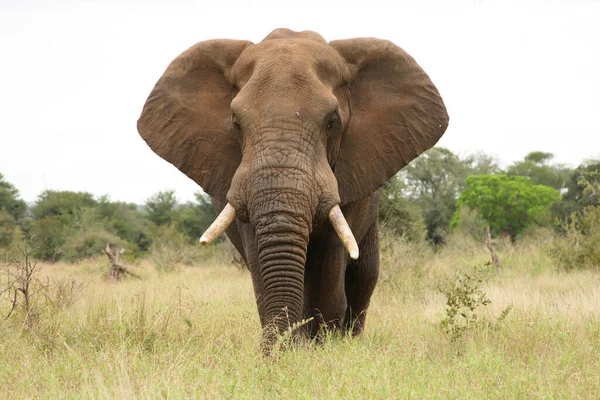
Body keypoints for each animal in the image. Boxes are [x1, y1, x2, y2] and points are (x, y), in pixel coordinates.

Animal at [138, 28, 448, 354]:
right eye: (236, 123)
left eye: (332, 122)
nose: (275, 351)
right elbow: (260, 263)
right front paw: (291, 347)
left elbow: (330, 263)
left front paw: (322, 348)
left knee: (365, 274)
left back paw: (347, 337)